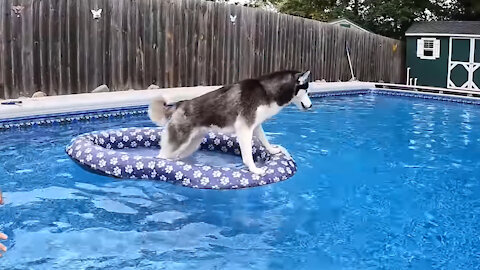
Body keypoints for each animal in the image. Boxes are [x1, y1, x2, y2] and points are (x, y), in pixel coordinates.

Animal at [149, 70, 312, 174]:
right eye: (306, 90)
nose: (310, 106)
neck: (266, 91)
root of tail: (179, 104)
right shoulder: (244, 128)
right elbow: (247, 154)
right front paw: (254, 169)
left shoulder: (255, 125)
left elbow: (265, 140)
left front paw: (273, 150)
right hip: (178, 142)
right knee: (161, 156)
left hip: (191, 145)